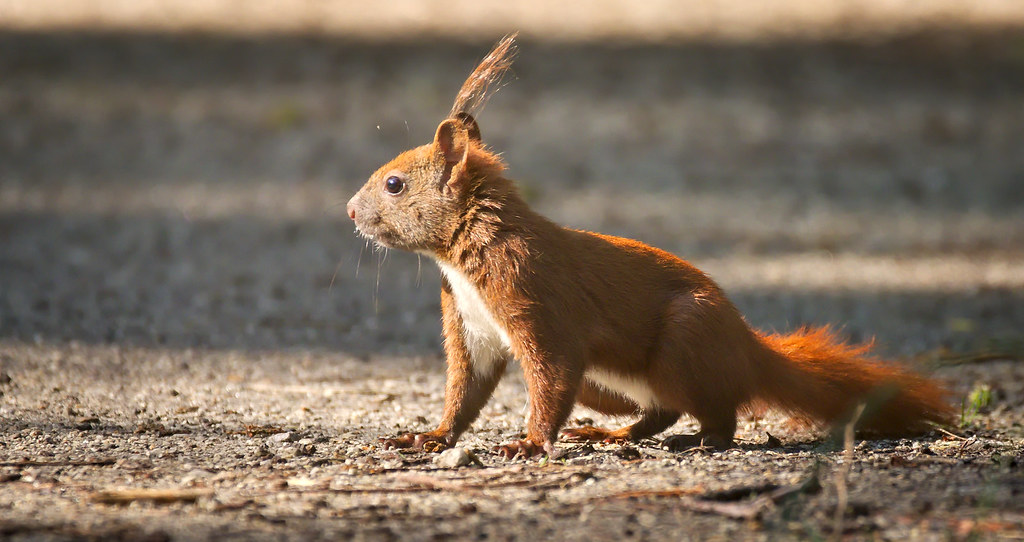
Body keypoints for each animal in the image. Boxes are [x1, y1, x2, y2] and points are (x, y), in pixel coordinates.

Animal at [346, 34, 953, 459]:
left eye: (394, 184)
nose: (349, 211)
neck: (464, 257)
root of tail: (746, 345)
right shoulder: (471, 324)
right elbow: (466, 390)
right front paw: (428, 436)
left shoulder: (533, 295)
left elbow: (550, 373)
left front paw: (529, 443)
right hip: (607, 383)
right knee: (660, 411)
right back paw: (615, 434)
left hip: (684, 340)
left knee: (718, 414)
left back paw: (698, 441)